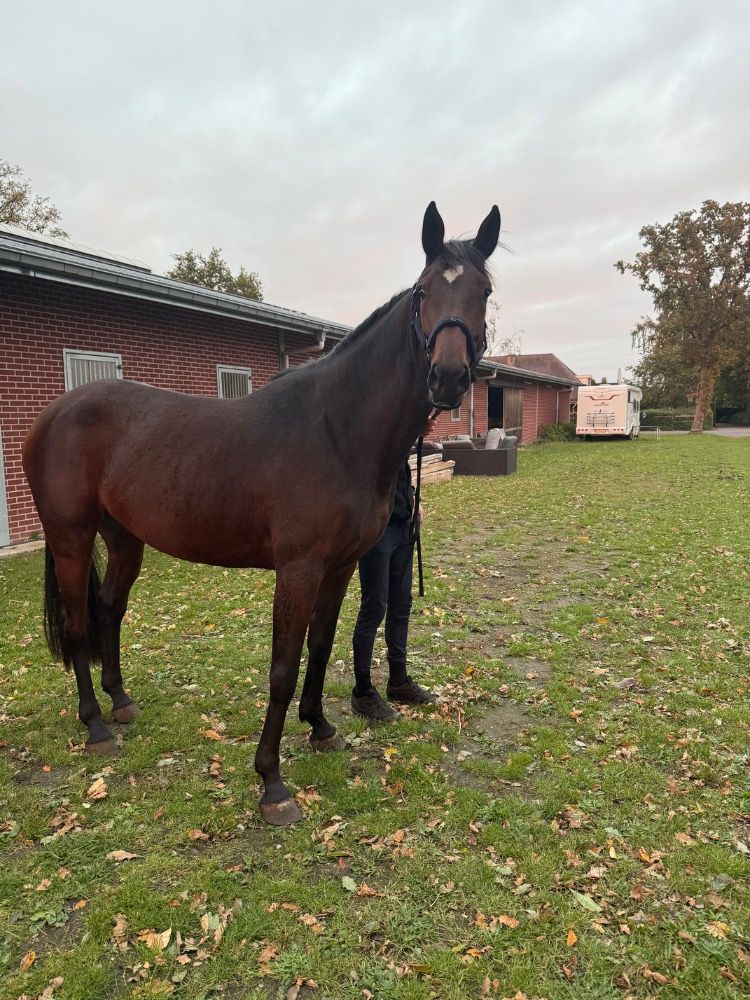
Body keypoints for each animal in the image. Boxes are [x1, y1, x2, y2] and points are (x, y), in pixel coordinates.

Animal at [22, 201, 501, 825]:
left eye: (484, 290)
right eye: (423, 291)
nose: (447, 377)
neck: (336, 429)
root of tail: (55, 412)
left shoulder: (340, 566)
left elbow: (321, 645)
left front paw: (320, 728)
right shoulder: (297, 570)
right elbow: (282, 666)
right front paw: (272, 783)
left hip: (125, 538)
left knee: (108, 611)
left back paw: (120, 701)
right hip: (71, 536)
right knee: (79, 622)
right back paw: (96, 726)